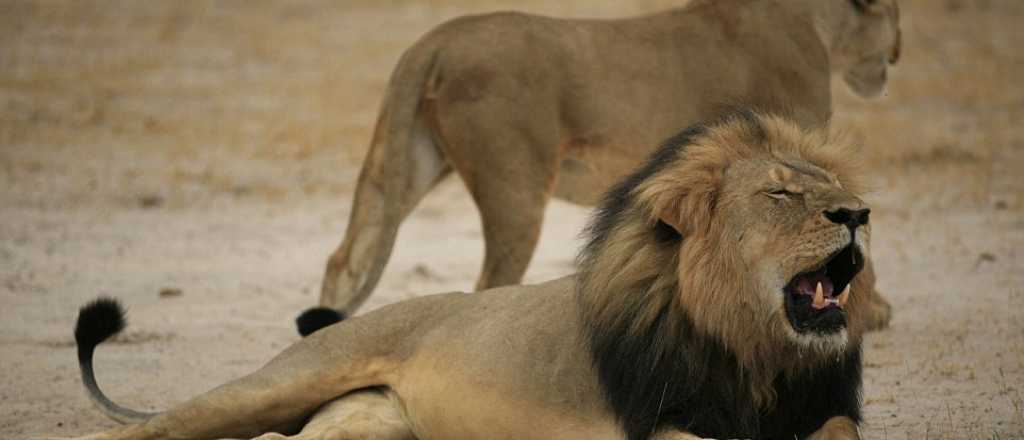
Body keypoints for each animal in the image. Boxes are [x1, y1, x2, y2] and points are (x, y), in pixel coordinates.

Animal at [55, 112, 878, 440]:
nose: (860, 213)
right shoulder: (653, 423)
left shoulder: (815, 406)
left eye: (831, 185)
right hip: (285, 380)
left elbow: (838, 430)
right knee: (156, 427)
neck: (753, 351)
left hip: (364, 428)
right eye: (781, 194)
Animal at [306, 0, 901, 335]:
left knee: (345, 258)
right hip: (515, 186)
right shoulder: (798, 147)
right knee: (489, 284)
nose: (897, 51)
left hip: (405, 163)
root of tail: (434, 41)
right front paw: (870, 313)